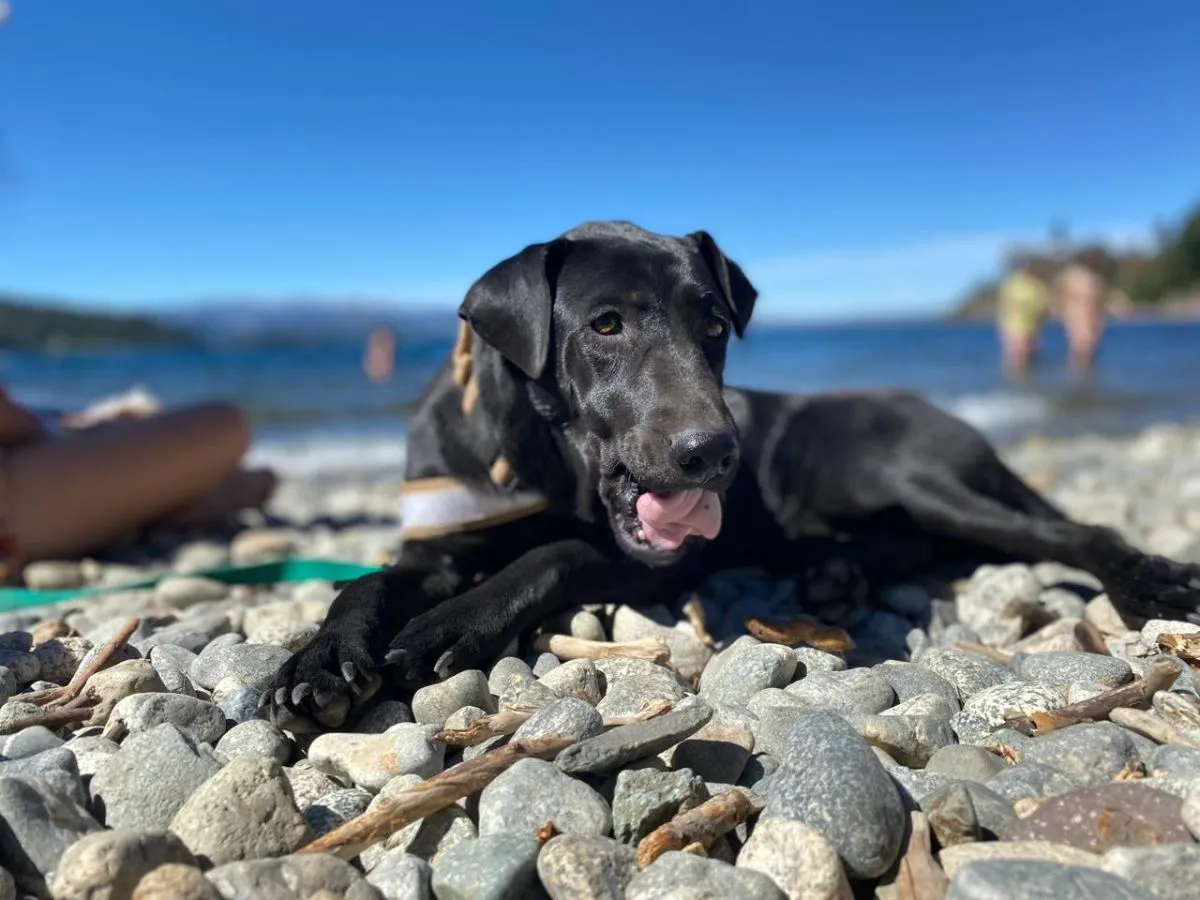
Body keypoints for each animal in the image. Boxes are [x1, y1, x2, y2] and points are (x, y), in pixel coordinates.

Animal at [267, 224, 1200, 734]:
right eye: (604, 325)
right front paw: (318, 667)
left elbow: (550, 557)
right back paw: (833, 573)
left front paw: (451, 624)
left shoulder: (647, 559)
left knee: (1062, 531)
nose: (714, 453)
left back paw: (1150, 581)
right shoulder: (440, 542)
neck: (532, 454)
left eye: (714, 323)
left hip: (902, 469)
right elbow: (365, 581)